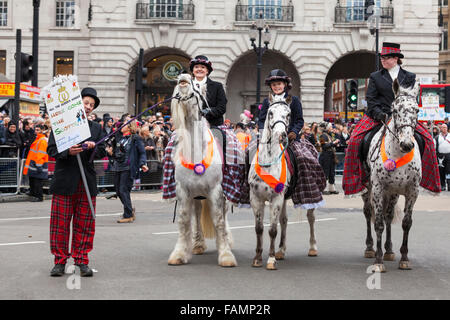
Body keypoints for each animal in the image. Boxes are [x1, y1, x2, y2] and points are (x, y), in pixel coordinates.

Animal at [165, 73, 236, 268]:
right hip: (197, 195)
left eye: (196, 85)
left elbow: (219, 220)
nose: (182, 78)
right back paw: (198, 244)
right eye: (178, 83)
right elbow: (184, 220)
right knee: (197, 216)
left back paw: (225, 241)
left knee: (223, 215)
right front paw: (179, 253)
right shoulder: (183, 191)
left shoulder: (216, 190)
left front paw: (225, 254)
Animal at [248, 93, 318, 270]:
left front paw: (271, 260)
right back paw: (281, 250)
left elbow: (272, 230)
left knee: (311, 218)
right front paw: (258, 258)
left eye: (288, 114)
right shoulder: (256, 198)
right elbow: (259, 229)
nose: (281, 135)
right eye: (270, 113)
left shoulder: (276, 198)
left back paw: (312, 247)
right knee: (284, 221)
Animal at [362, 79, 422, 272]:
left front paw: (404, 258)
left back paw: (388, 250)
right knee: (368, 212)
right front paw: (378, 261)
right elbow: (378, 223)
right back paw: (370, 248)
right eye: (395, 110)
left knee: (388, 216)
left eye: (417, 110)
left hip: (393, 192)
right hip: (369, 189)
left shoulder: (412, 191)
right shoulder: (378, 189)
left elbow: (406, 222)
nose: (407, 144)